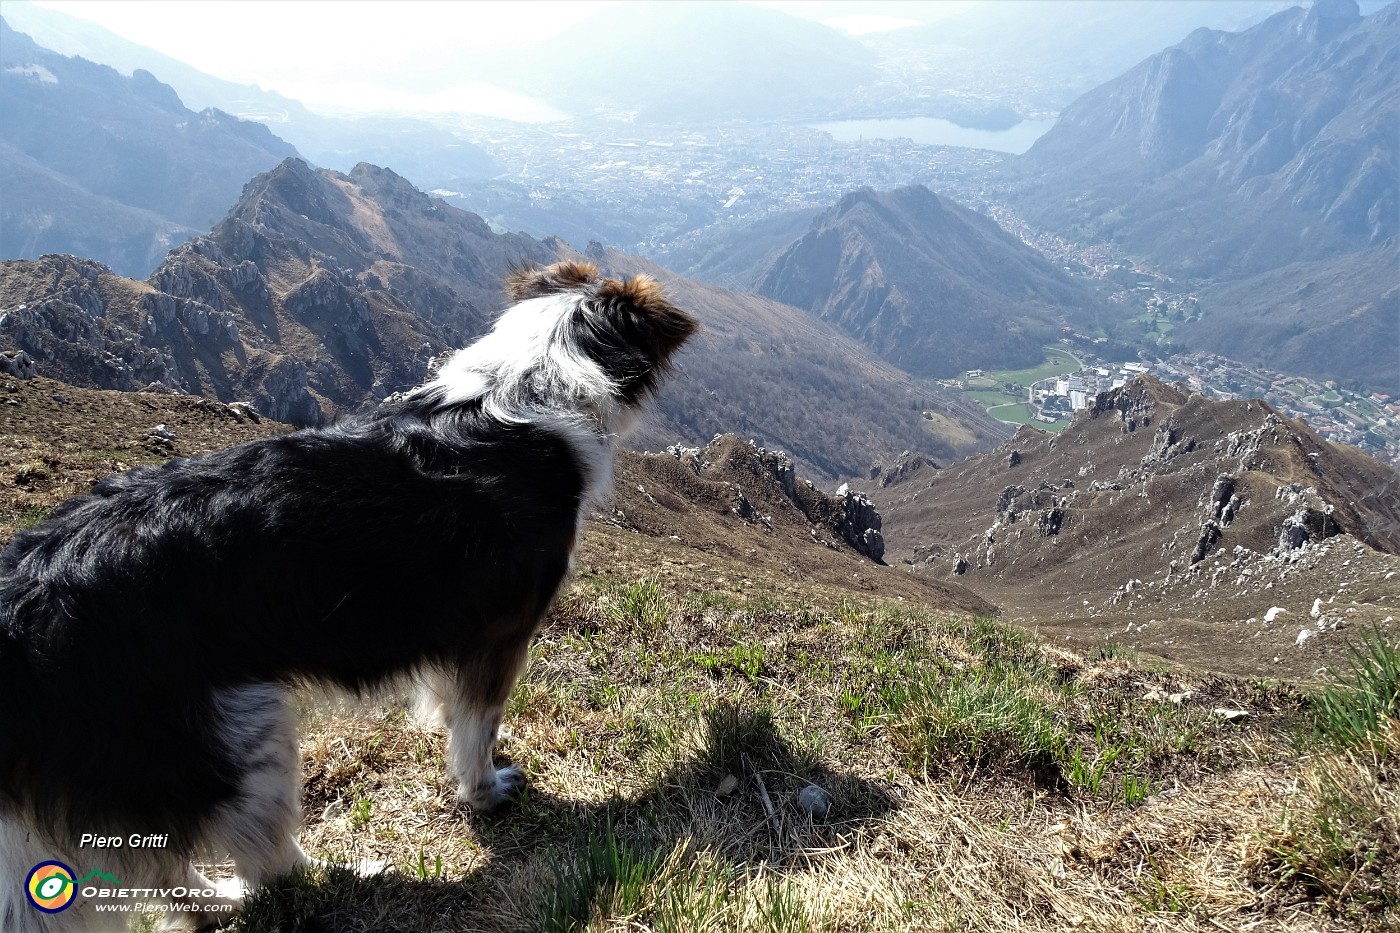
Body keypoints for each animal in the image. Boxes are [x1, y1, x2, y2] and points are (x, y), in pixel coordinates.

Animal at [0, 263, 697, 930]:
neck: (529, 385)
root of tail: (23, 606)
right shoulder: (499, 634)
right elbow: (477, 726)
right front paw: (485, 791)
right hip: (234, 737)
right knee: (258, 865)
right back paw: (337, 875)